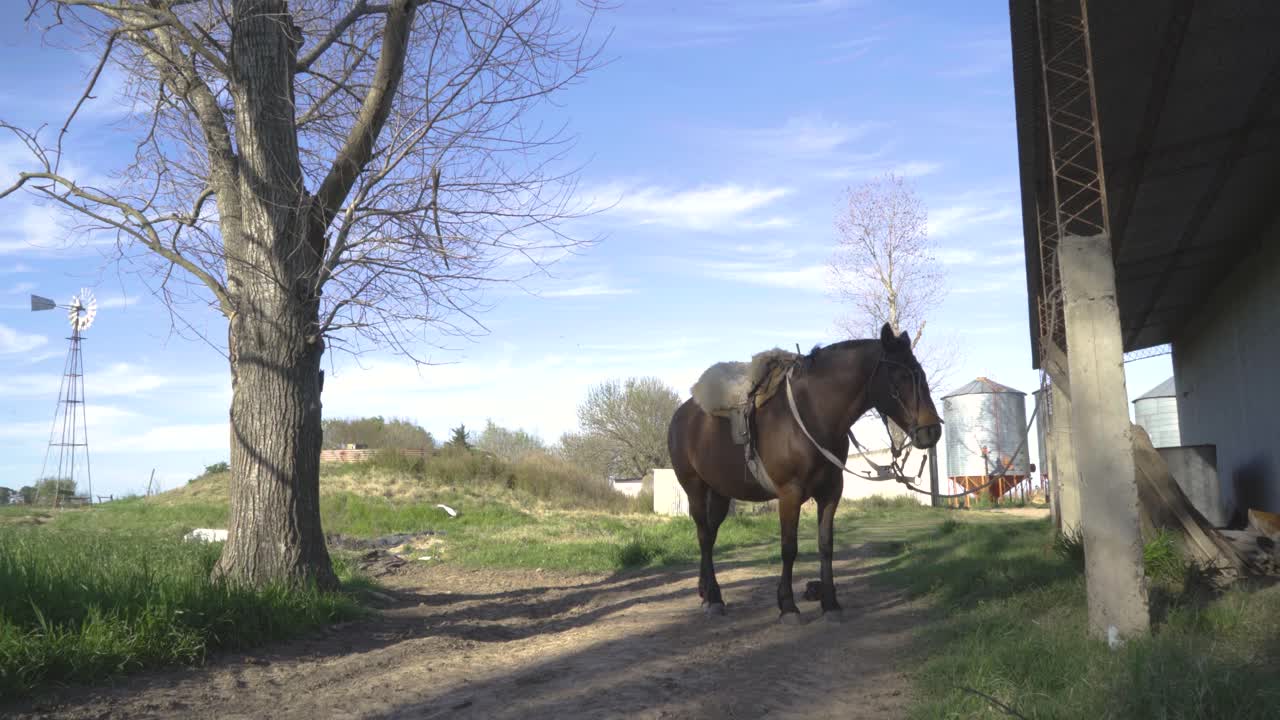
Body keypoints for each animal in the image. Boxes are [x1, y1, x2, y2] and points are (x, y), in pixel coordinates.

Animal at [666, 322, 943, 624]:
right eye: (899, 377)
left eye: (920, 374)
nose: (931, 431)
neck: (813, 414)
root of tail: (682, 414)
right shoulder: (790, 493)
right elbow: (789, 548)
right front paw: (787, 606)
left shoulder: (831, 491)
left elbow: (826, 545)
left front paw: (830, 603)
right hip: (694, 487)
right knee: (704, 536)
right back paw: (714, 598)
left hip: (720, 492)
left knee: (711, 533)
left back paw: (706, 592)